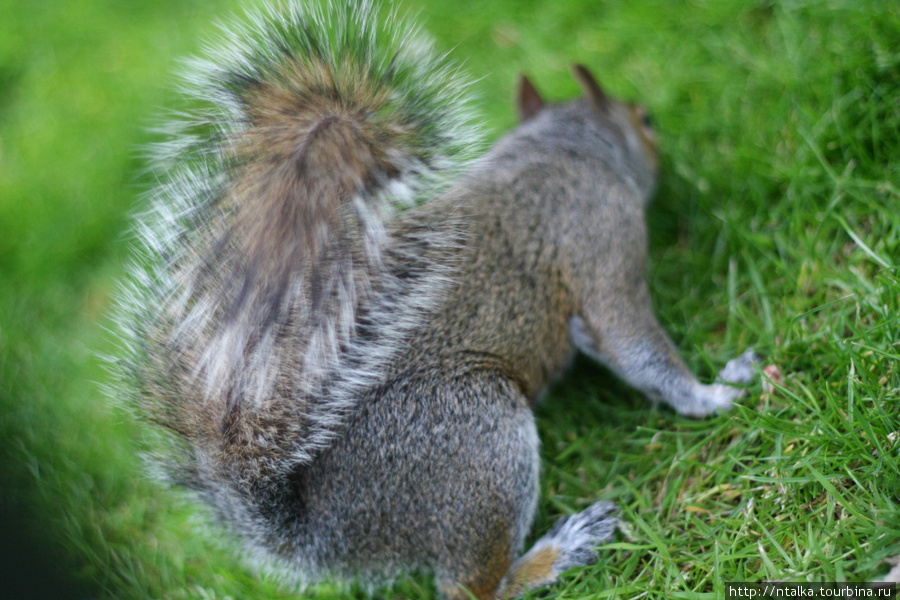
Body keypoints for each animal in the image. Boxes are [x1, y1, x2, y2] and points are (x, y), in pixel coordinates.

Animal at [112, 1, 760, 600]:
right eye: (646, 119)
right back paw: (561, 550)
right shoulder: (603, 242)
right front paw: (714, 393)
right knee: (471, 587)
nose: (659, 135)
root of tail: (334, 536)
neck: (562, 151)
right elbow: (635, 345)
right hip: (479, 442)